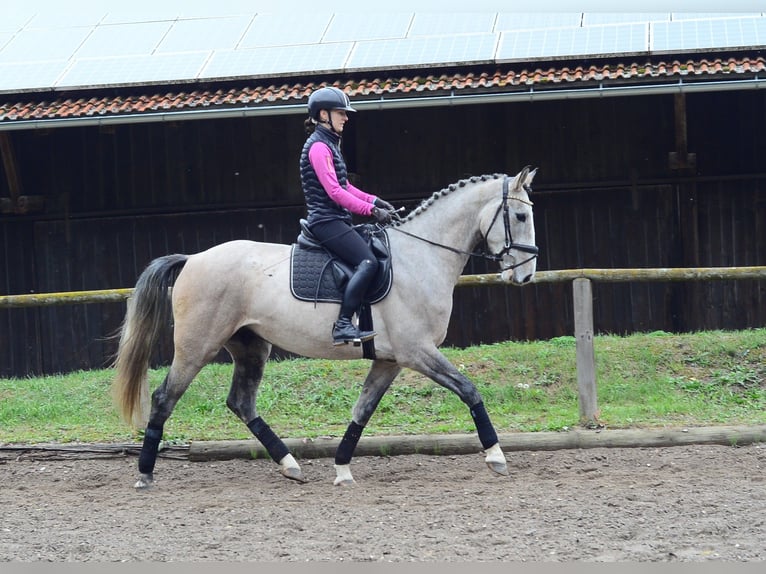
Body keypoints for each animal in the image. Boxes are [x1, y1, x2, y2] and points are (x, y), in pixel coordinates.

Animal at [112, 166, 538, 489]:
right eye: (520, 216)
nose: (526, 275)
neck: (421, 257)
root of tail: (192, 258)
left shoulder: (390, 360)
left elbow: (362, 410)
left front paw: (342, 468)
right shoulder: (417, 351)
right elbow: (468, 389)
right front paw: (496, 455)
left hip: (251, 347)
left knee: (241, 403)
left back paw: (290, 465)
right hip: (197, 347)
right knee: (165, 399)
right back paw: (145, 474)